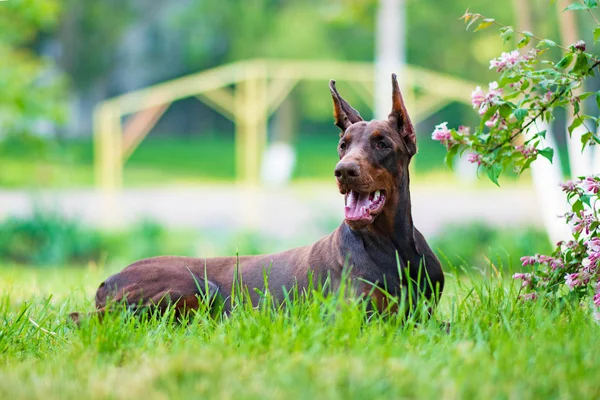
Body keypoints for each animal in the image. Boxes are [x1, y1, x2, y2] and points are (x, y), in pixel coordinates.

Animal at [71, 75, 446, 324]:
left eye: (382, 143)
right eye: (344, 145)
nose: (343, 171)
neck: (392, 245)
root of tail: (106, 281)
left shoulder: (423, 311)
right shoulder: (359, 319)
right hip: (199, 287)